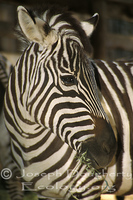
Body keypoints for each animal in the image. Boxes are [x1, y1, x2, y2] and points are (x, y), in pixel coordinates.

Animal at [3, 5, 116, 199]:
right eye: (68, 79)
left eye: (97, 80)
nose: (110, 152)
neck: (29, 145)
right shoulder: (45, 193)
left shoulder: (90, 187)